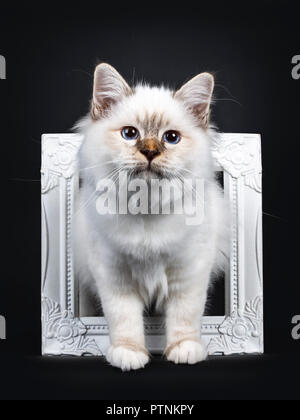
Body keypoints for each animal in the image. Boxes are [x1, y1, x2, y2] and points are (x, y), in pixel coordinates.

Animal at [74, 62, 229, 370]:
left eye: (171, 138)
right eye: (130, 133)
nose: (149, 151)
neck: (145, 206)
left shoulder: (188, 274)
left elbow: (185, 318)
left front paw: (184, 350)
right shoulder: (114, 276)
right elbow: (124, 321)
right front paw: (129, 354)